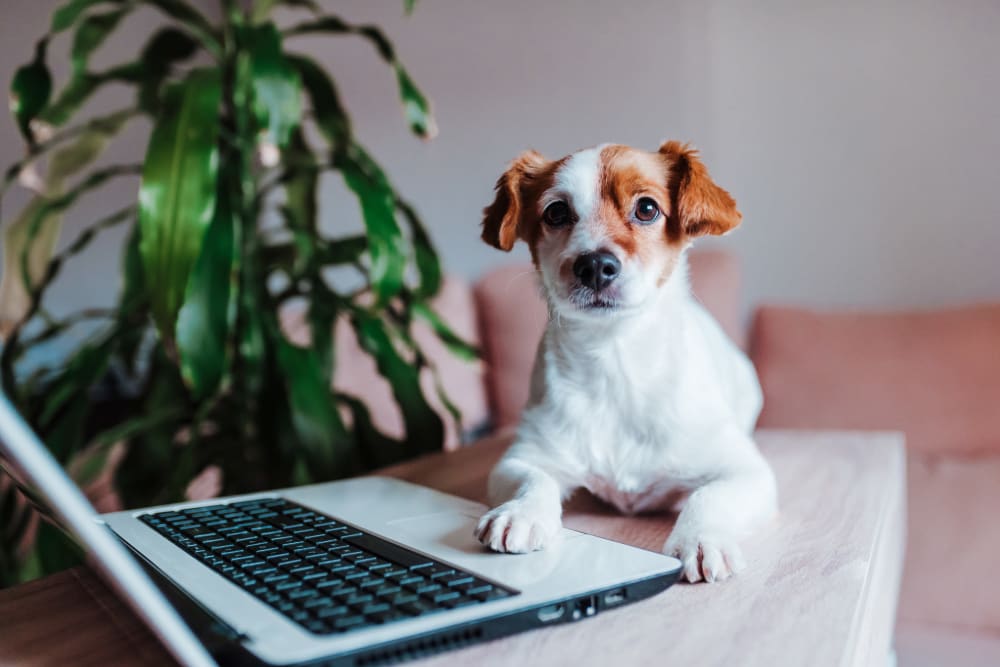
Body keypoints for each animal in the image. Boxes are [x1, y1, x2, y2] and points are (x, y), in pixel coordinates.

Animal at [472, 142, 776, 584]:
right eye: (556, 212)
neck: (616, 359)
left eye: (647, 208)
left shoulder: (746, 471)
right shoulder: (524, 457)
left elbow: (709, 495)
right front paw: (521, 512)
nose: (595, 265)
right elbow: (533, 480)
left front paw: (701, 537)